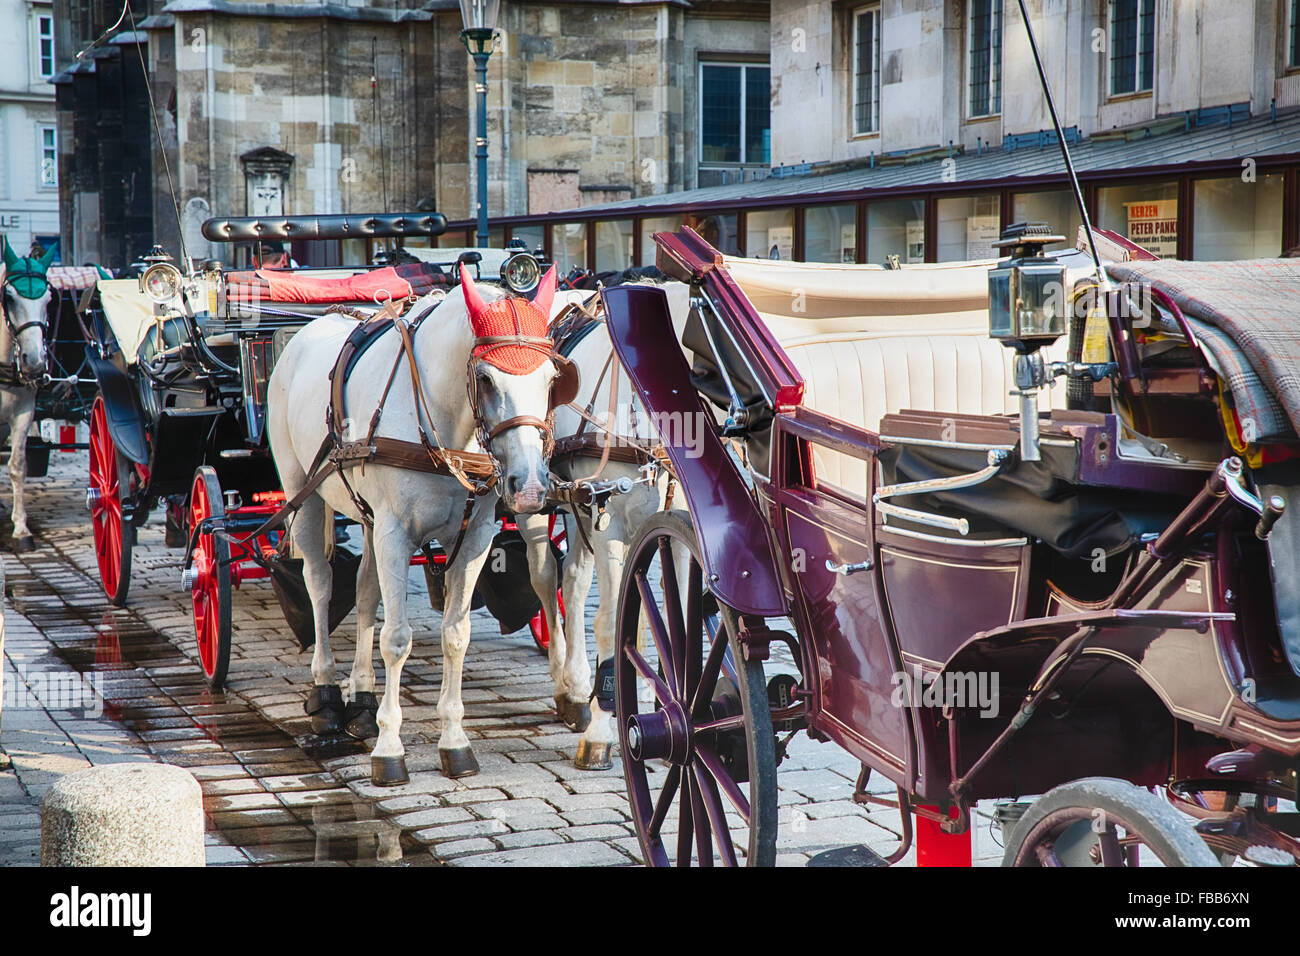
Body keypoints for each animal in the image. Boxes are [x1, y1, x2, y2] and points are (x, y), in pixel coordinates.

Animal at [266, 264, 582, 785]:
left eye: (553, 377)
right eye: (485, 378)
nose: (533, 485)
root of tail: (310, 329)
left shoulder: (473, 539)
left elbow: (456, 635)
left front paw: (454, 740)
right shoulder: (396, 533)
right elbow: (396, 639)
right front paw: (390, 749)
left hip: (369, 518)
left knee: (367, 591)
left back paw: (362, 698)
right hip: (304, 494)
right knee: (320, 584)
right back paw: (328, 694)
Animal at [514, 280, 696, 775]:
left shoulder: (674, 533)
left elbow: (666, 619)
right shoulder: (610, 526)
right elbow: (614, 625)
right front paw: (602, 732)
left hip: (578, 510)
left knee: (575, 582)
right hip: (538, 501)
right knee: (546, 579)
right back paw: (569, 687)